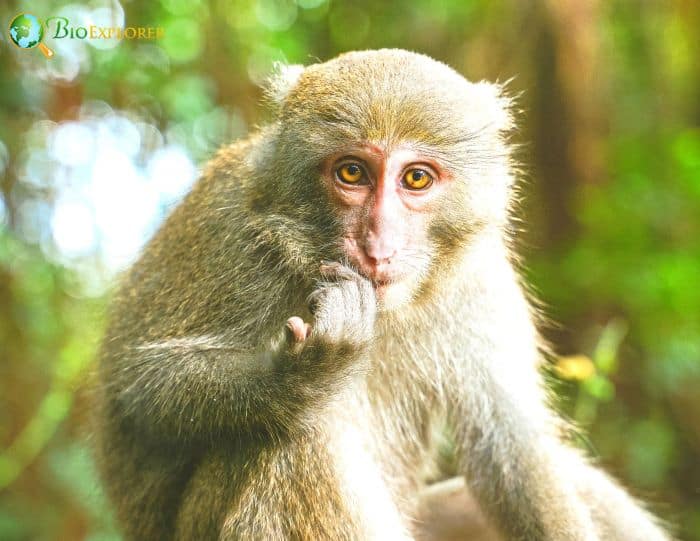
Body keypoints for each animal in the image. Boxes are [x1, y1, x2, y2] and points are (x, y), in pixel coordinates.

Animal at [90, 48, 668, 536]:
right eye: (352, 173)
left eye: (416, 179)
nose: (378, 245)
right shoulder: (238, 246)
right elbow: (145, 391)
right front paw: (303, 375)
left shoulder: (478, 280)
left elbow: (511, 450)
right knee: (294, 440)